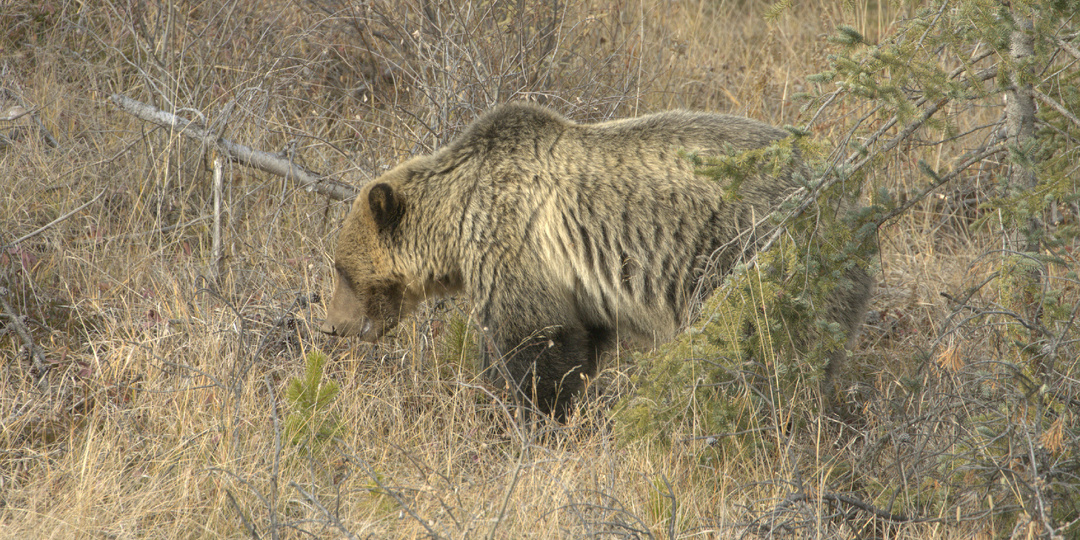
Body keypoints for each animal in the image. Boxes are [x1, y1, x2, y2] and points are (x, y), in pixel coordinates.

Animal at [321, 102, 873, 420]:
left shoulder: (515, 244)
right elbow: (577, 346)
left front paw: (529, 416)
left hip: (754, 252)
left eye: (341, 269)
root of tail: (851, 198)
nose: (334, 326)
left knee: (770, 348)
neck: (456, 220)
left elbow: (534, 346)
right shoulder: (580, 288)